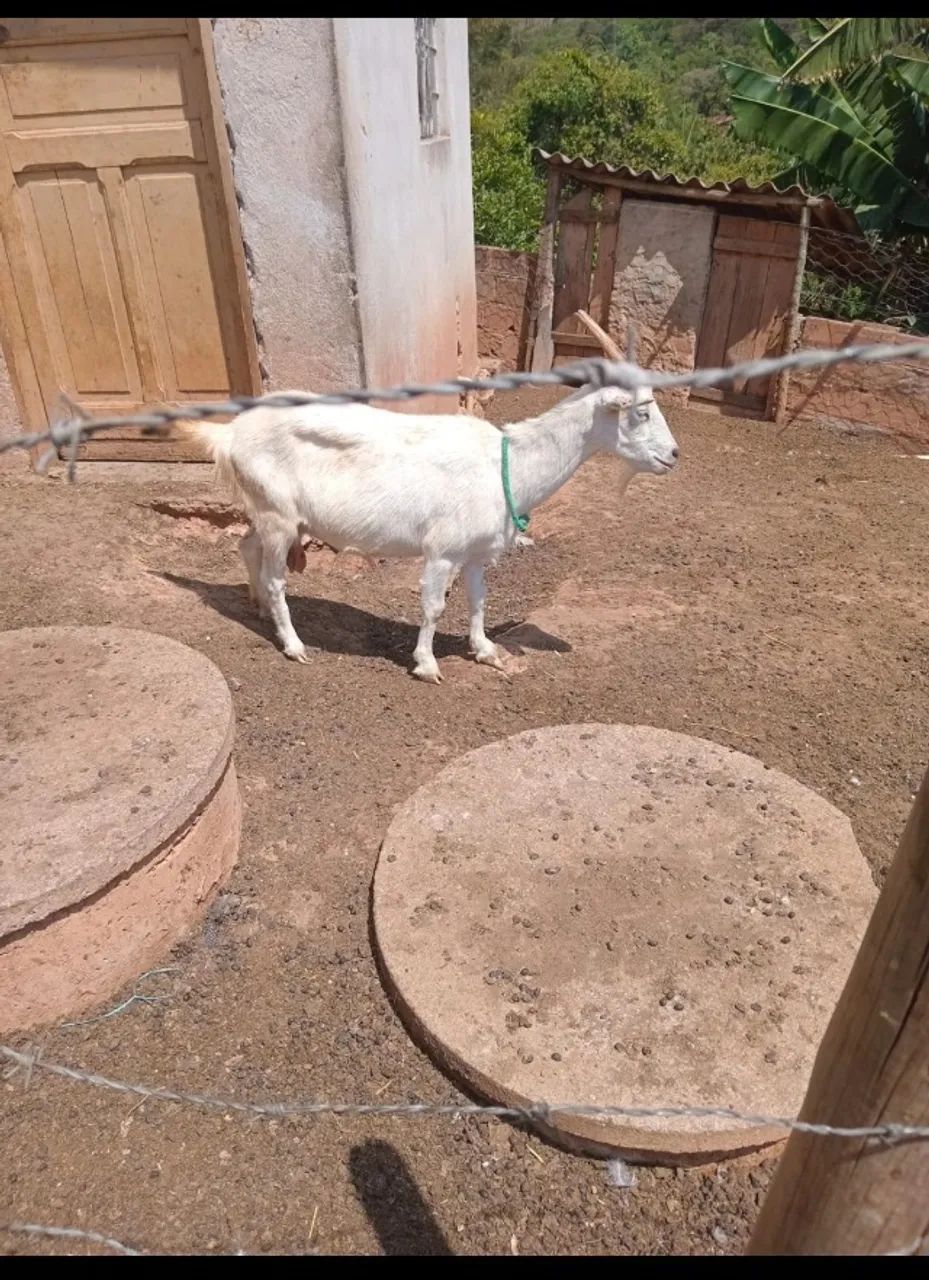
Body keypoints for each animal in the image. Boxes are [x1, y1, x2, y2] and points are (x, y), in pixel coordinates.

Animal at [178, 383, 679, 682]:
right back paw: (294, 644)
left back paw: (259, 609)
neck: (507, 465)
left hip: (268, 513)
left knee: (247, 546)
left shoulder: (477, 554)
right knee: (277, 578)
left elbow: (479, 600)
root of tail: (231, 434)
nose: (674, 454)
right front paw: (427, 665)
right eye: (640, 413)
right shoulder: (443, 551)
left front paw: (486, 650)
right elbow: (434, 607)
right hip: (279, 515)